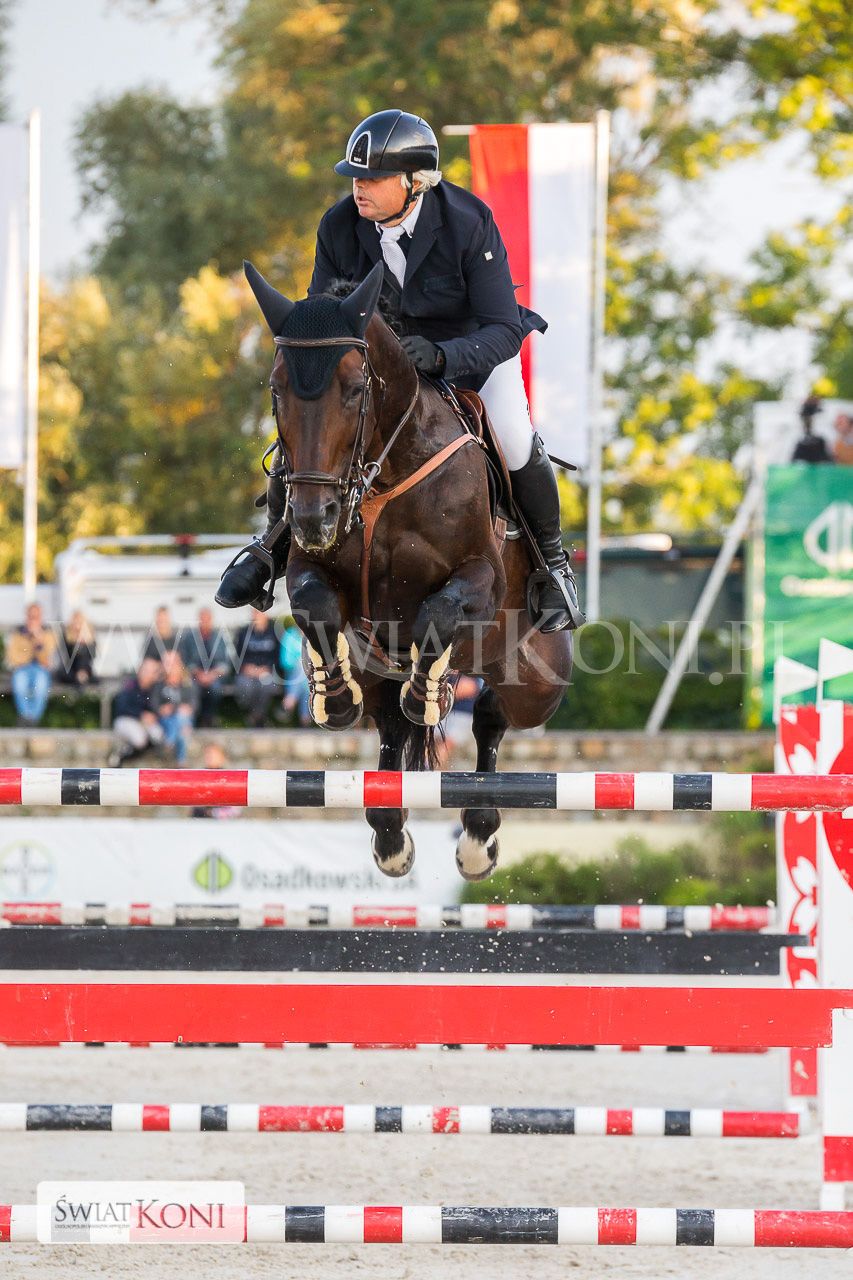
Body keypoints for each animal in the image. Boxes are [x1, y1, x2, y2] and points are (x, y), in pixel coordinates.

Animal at [244, 260, 573, 880]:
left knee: (493, 712)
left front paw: (428, 693)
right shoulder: (313, 572)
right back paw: (392, 835)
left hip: (538, 678)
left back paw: (478, 837)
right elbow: (315, 603)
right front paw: (334, 699)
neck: (384, 472)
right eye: (276, 391)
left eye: (355, 390)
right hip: (381, 672)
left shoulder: (481, 579)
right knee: (391, 729)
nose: (314, 518)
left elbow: (439, 612)